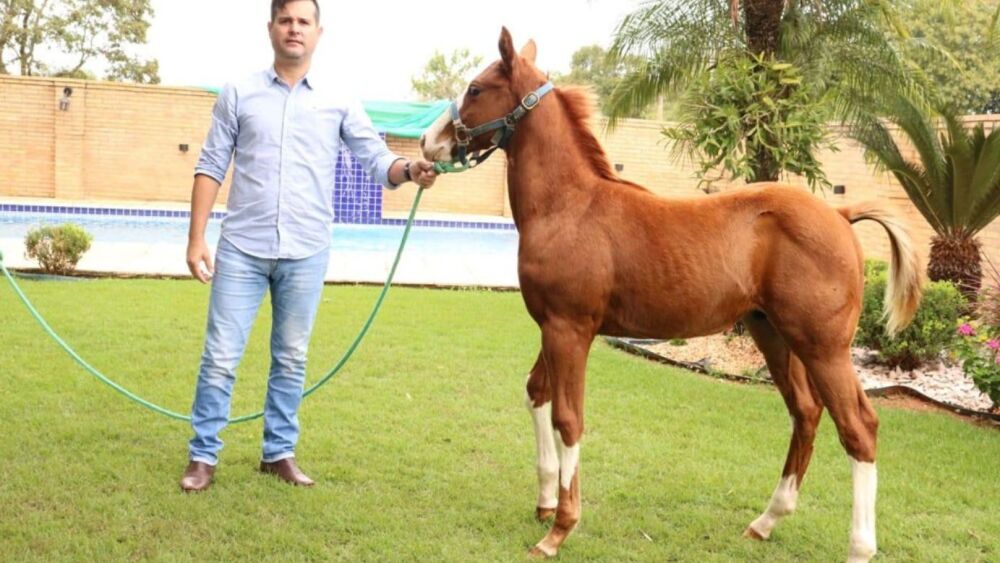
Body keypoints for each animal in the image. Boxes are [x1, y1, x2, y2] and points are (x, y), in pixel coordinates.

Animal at [420, 28, 923, 563]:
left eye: (476, 88)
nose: (429, 143)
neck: (570, 206)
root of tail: (841, 215)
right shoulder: (554, 327)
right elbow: (537, 392)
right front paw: (544, 501)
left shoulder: (570, 329)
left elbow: (568, 418)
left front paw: (559, 530)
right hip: (773, 334)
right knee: (806, 413)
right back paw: (766, 521)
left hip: (823, 345)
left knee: (858, 426)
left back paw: (858, 546)